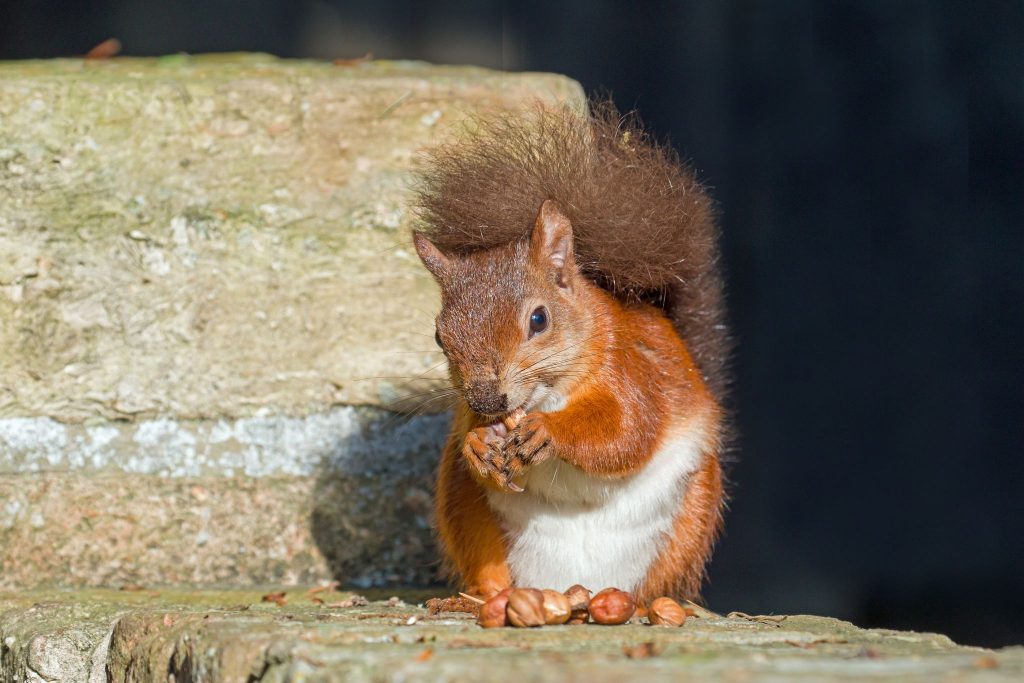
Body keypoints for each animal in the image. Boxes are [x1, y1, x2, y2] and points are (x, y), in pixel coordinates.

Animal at [407, 101, 729, 602]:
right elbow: (471, 438)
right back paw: (484, 597)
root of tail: (571, 582)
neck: (548, 395)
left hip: (691, 514)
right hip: (463, 506)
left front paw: (549, 432)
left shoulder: (632, 370)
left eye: (539, 320)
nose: (486, 399)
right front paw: (480, 442)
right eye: (440, 337)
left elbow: (626, 432)